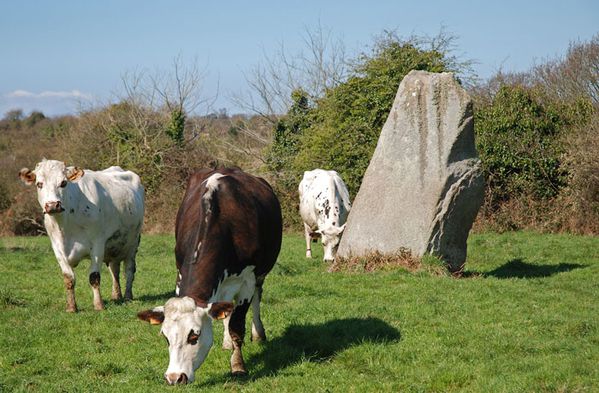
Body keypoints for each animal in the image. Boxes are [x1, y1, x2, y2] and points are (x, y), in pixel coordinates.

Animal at [19, 158, 145, 310]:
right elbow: (69, 278)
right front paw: (71, 307)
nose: (52, 205)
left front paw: (98, 305)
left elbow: (94, 277)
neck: (65, 226)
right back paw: (116, 295)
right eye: (39, 184)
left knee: (129, 270)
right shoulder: (57, 248)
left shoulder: (97, 245)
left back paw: (127, 296)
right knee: (114, 270)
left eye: (63, 183)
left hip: (133, 242)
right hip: (114, 246)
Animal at [138, 167, 284, 384]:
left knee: (257, 296)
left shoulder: (247, 280)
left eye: (194, 336)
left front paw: (238, 365)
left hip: (260, 273)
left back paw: (258, 333)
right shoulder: (180, 274)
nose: (174, 377)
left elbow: (237, 325)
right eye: (165, 337)